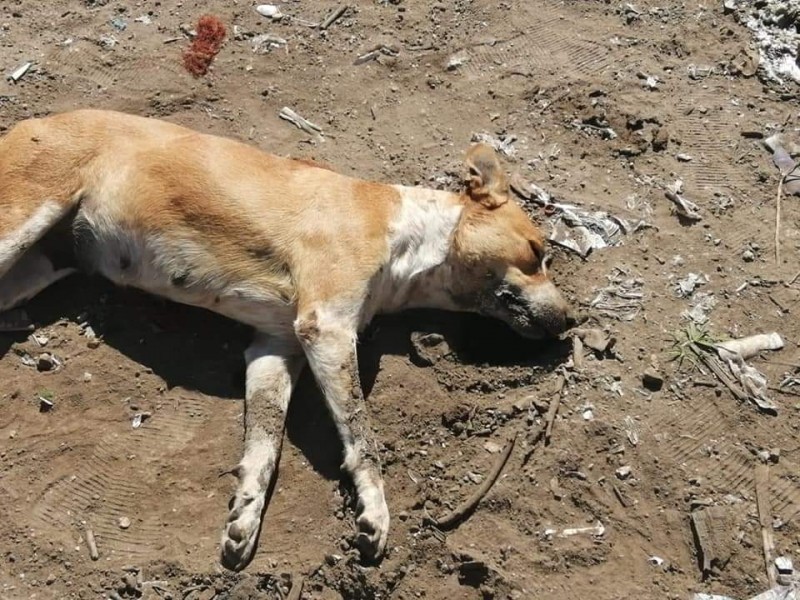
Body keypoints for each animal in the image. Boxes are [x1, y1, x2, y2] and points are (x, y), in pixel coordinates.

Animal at [0, 111, 576, 572]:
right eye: (536, 250)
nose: (571, 322)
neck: (410, 238)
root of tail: (32, 121)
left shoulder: (275, 349)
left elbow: (265, 448)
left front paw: (245, 517)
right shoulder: (326, 328)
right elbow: (363, 438)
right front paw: (375, 511)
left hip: (42, 264)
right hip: (22, 223)